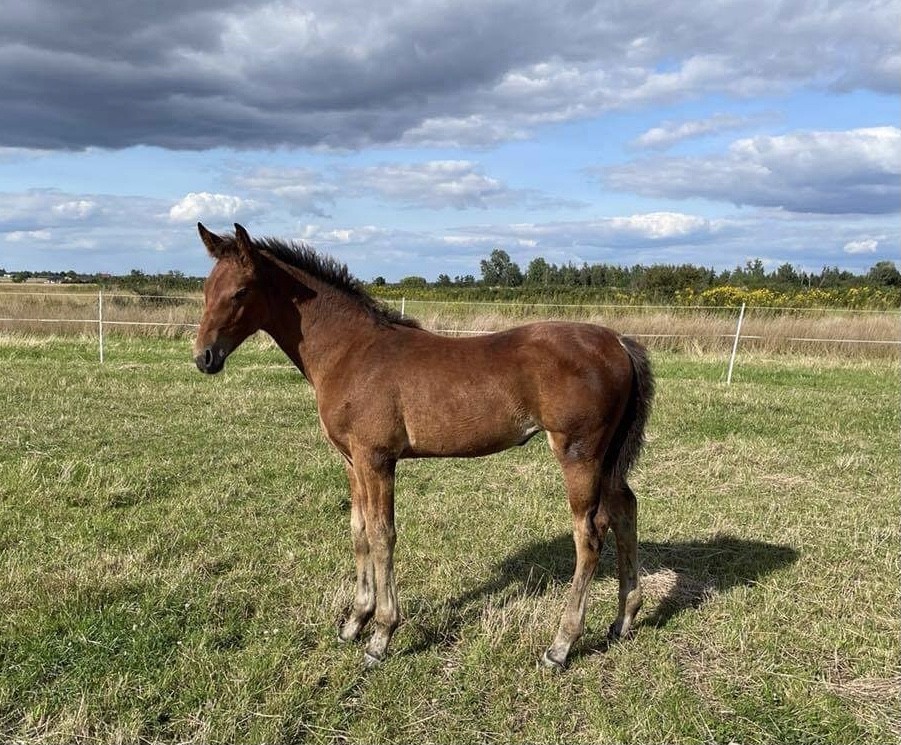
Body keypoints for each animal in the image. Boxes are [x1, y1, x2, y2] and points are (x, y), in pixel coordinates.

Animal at [193, 223, 654, 670]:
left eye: (241, 291)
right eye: (206, 289)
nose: (204, 358)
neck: (350, 351)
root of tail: (619, 342)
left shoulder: (376, 459)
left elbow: (382, 534)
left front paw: (380, 636)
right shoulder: (351, 461)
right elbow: (359, 530)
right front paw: (354, 622)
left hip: (579, 453)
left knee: (590, 534)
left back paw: (560, 646)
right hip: (607, 457)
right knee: (624, 510)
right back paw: (623, 620)